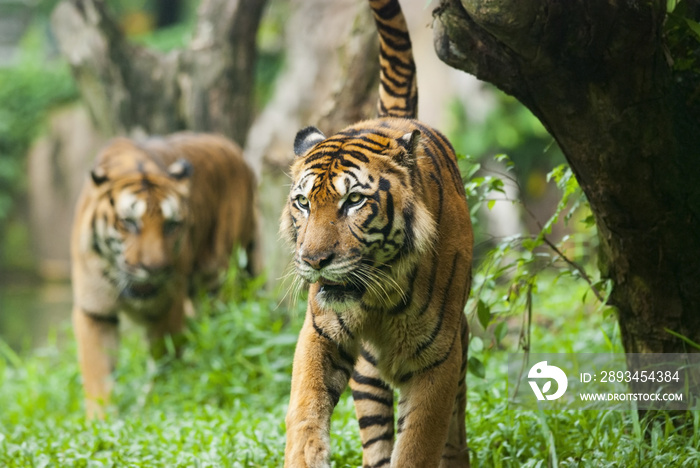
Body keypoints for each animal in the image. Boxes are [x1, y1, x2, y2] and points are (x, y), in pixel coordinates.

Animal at [69, 131, 262, 416]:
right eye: (129, 223)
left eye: (171, 225)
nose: (154, 269)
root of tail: (233, 148)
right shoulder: (95, 310)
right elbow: (98, 372)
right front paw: (100, 420)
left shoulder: (168, 305)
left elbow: (163, 360)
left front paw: (153, 403)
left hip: (219, 283)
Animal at [282, 0, 474, 468]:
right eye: (303, 203)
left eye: (353, 201)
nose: (314, 261)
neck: (380, 295)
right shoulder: (319, 333)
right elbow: (305, 409)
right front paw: (307, 455)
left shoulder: (438, 360)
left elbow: (420, 443)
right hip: (369, 374)